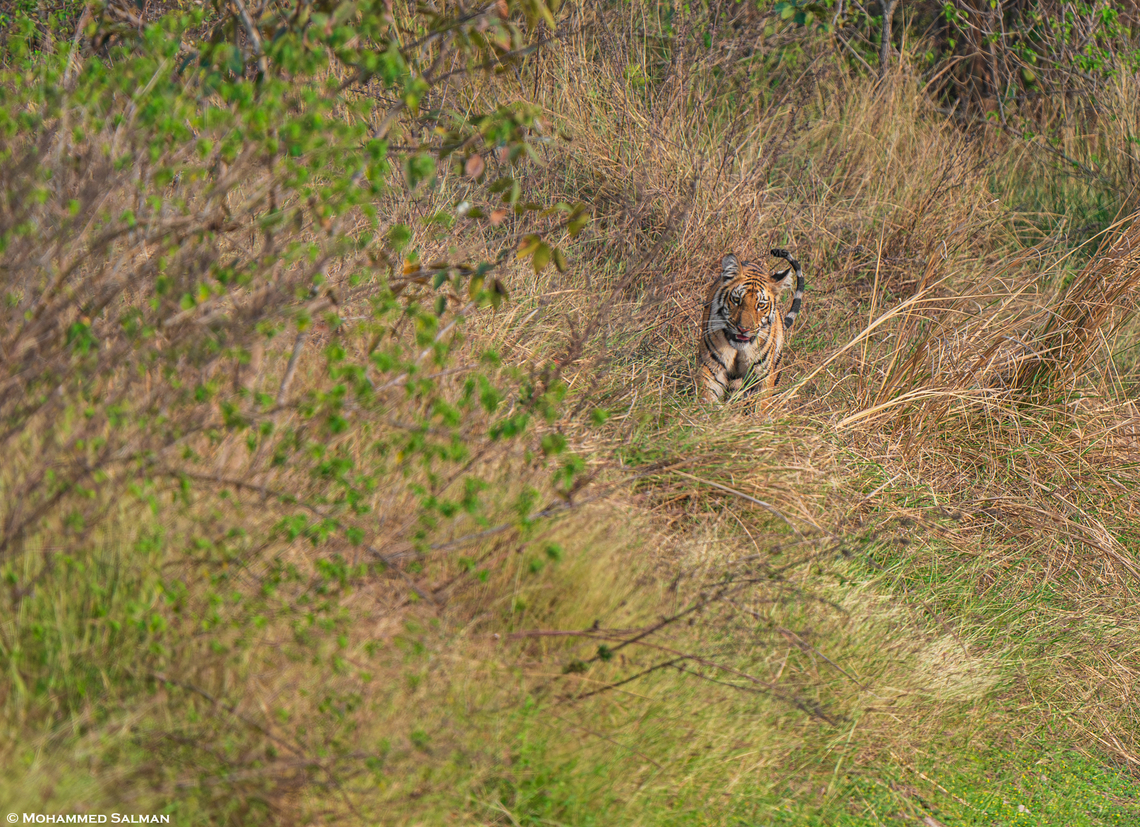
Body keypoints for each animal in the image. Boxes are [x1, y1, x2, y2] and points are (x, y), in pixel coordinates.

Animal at [696, 248, 804, 404]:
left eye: (761, 305)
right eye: (736, 300)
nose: (743, 329)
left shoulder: (762, 375)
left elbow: (761, 402)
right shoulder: (711, 367)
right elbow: (708, 397)